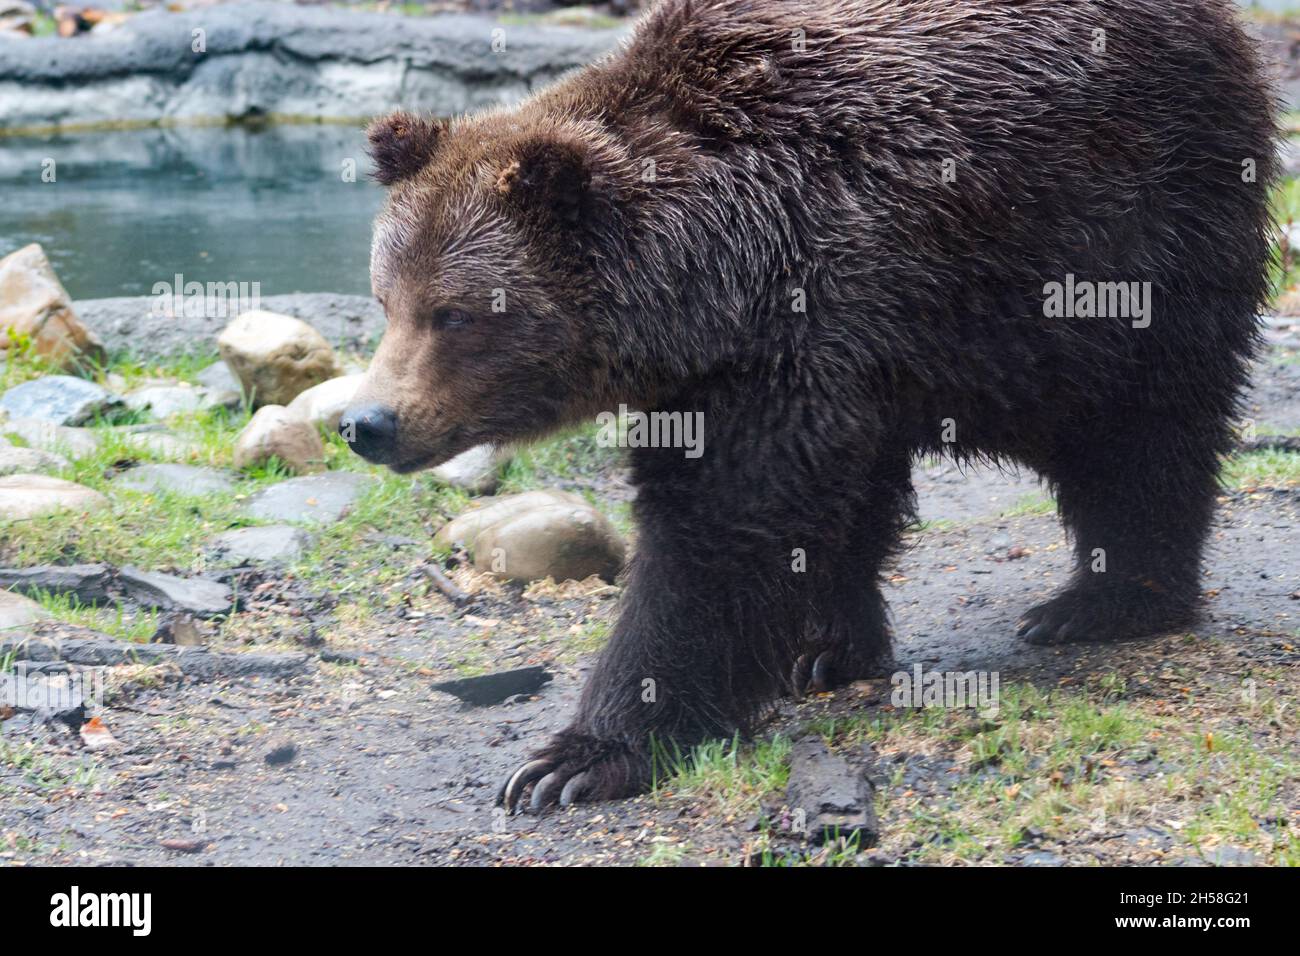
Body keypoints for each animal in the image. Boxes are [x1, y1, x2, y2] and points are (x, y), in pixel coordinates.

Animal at [338, 0, 1279, 816]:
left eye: (454, 314)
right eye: (388, 299)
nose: (366, 423)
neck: (709, 279)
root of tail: (1222, 28)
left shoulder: (806, 313)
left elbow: (716, 533)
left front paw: (575, 758)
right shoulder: (796, 353)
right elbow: (805, 504)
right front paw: (816, 648)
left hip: (1117, 248)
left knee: (1135, 431)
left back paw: (1101, 602)